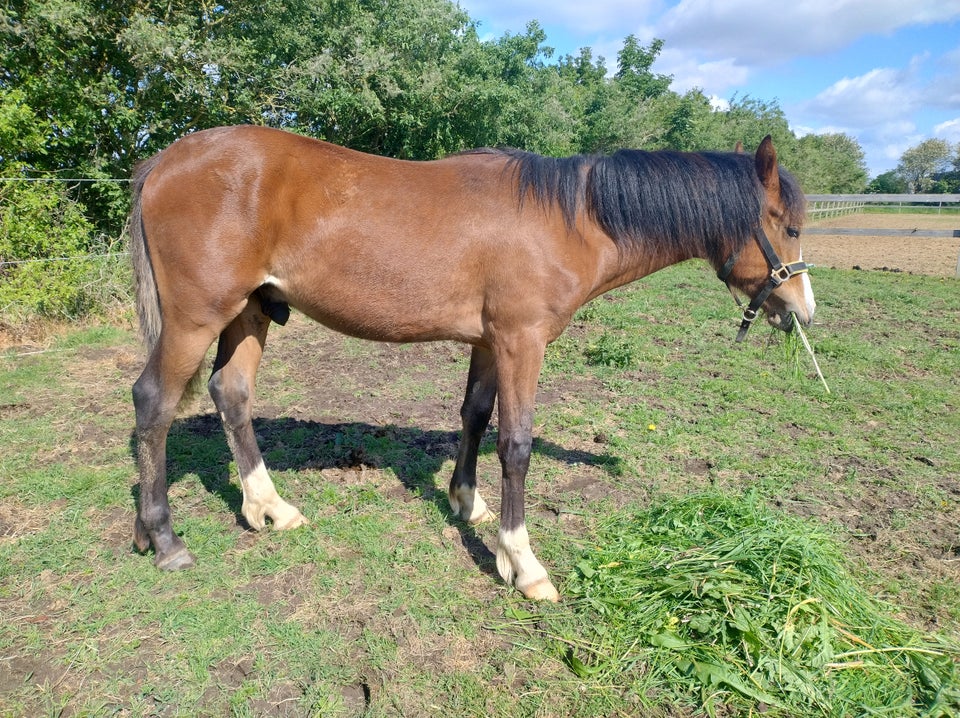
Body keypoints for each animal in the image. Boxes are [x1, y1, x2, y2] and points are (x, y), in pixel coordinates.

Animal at [129, 125, 816, 600]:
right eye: (788, 226)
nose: (802, 312)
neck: (570, 220)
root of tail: (164, 161)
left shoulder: (490, 343)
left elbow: (476, 416)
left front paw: (467, 501)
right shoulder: (521, 341)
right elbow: (516, 443)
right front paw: (521, 561)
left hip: (248, 312)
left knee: (231, 393)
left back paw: (268, 507)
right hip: (196, 318)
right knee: (153, 403)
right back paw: (163, 538)